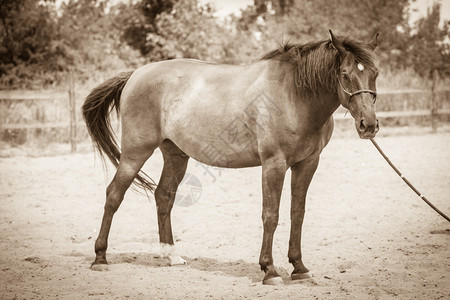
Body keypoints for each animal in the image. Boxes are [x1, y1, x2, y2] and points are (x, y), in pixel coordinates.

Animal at [81, 30, 380, 286]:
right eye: (345, 74)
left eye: (375, 73)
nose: (368, 125)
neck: (294, 95)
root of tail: (135, 74)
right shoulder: (274, 164)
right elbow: (271, 215)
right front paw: (269, 270)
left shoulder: (307, 164)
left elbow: (298, 213)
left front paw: (299, 268)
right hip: (136, 152)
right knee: (114, 194)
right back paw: (100, 258)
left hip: (175, 155)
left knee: (163, 196)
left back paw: (172, 255)